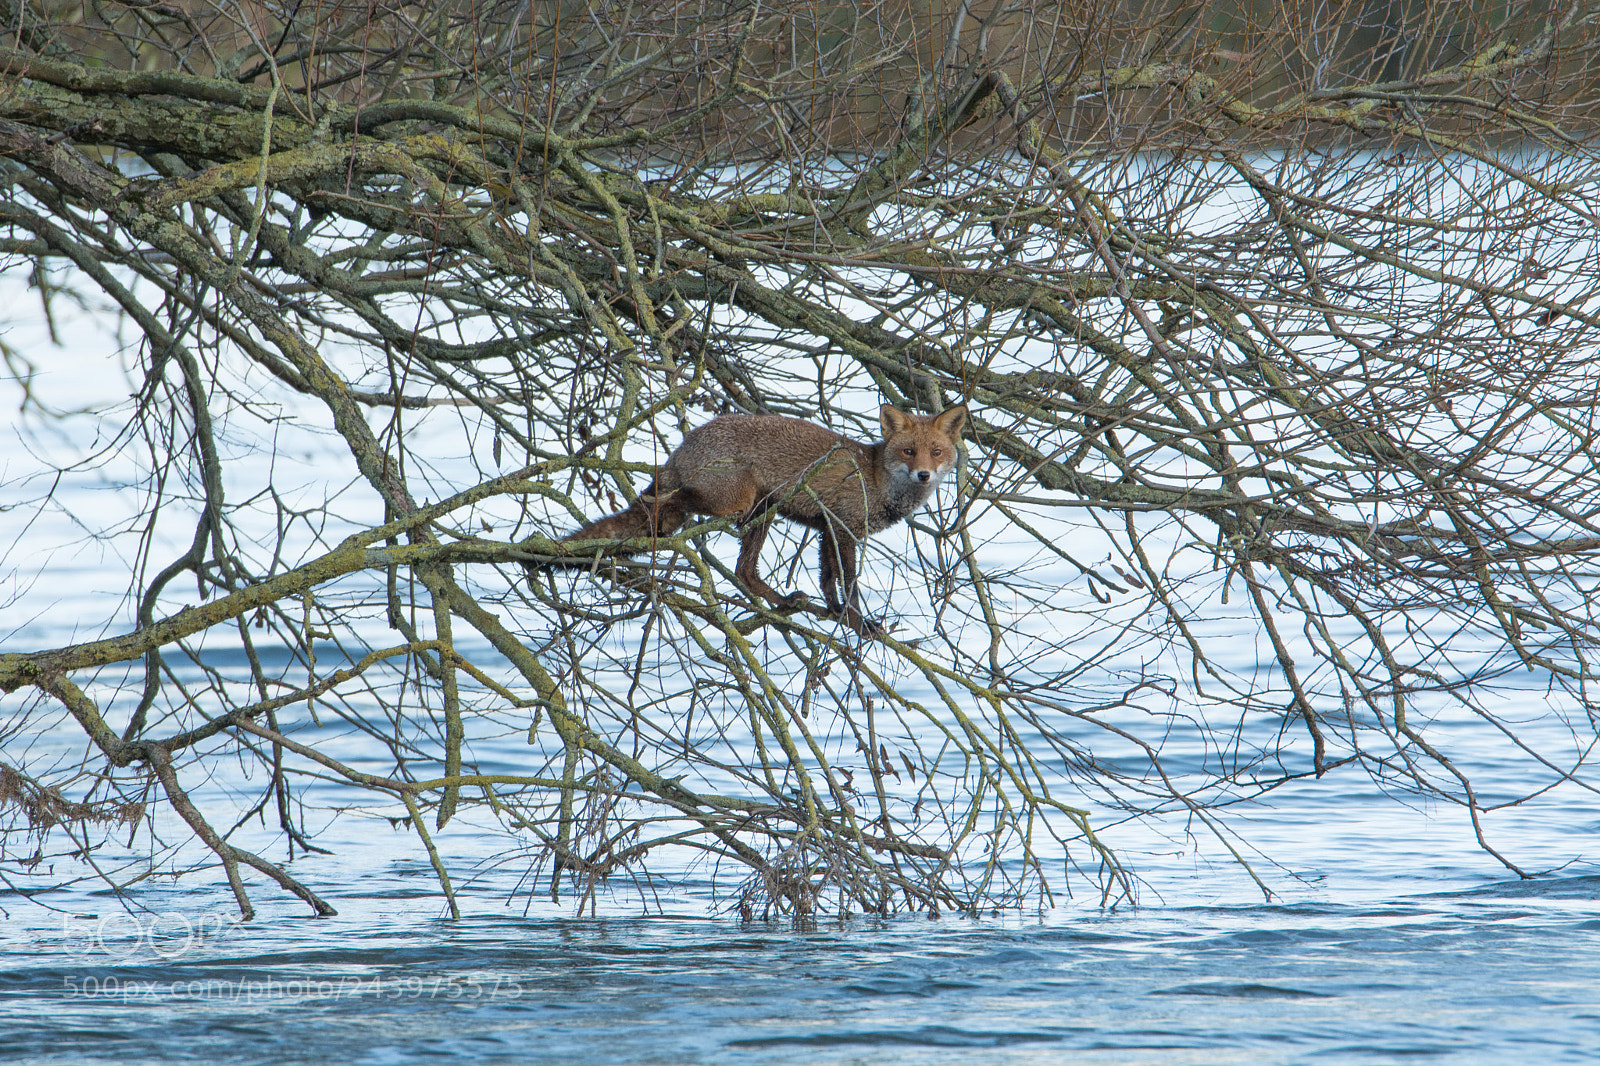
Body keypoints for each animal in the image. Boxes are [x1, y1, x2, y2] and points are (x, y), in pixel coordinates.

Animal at [553, 403, 969, 634]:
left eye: (936, 452)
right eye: (908, 451)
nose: (924, 475)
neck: (878, 480)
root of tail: (683, 445)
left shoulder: (826, 527)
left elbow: (828, 578)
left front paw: (835, 612)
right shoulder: (843, 527)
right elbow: (849, 583)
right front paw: (857, 623)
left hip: (761, 513)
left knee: (743, 571)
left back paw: (781, 602)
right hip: (741, 503)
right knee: (682, 503)